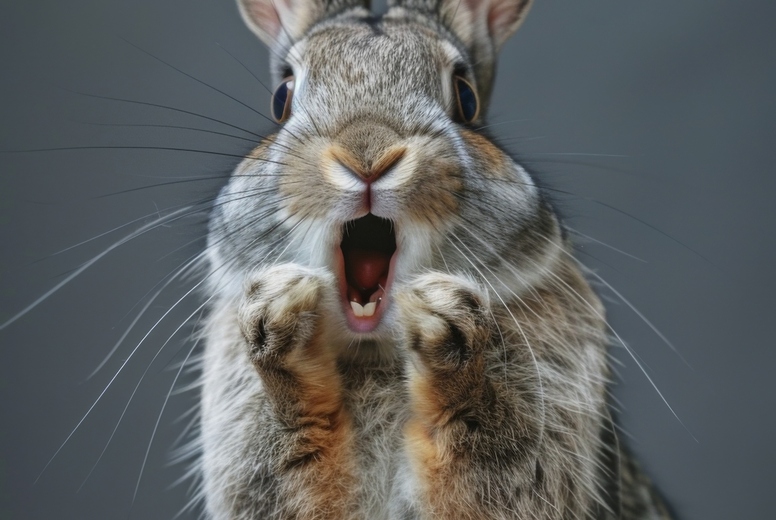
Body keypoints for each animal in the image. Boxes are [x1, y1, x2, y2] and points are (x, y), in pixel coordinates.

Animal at [198, 0, 675, 518]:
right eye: (281, 98)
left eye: (466, 98)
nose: (367, 153)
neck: (375, 349)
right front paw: (281, 311)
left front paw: (443, 318)